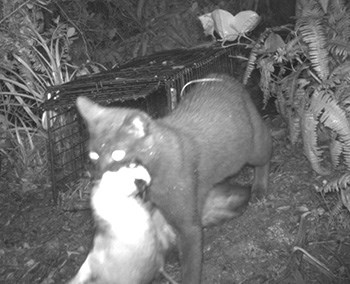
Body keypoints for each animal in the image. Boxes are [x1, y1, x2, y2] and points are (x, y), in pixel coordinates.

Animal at [77, 74, 274, 284]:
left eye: (117, 154)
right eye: (93, 156)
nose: (99, 173)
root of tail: (223, 77)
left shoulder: (188, 225)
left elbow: (190, 265)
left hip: (253, 148)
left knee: (267, 146)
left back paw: (259, 188)